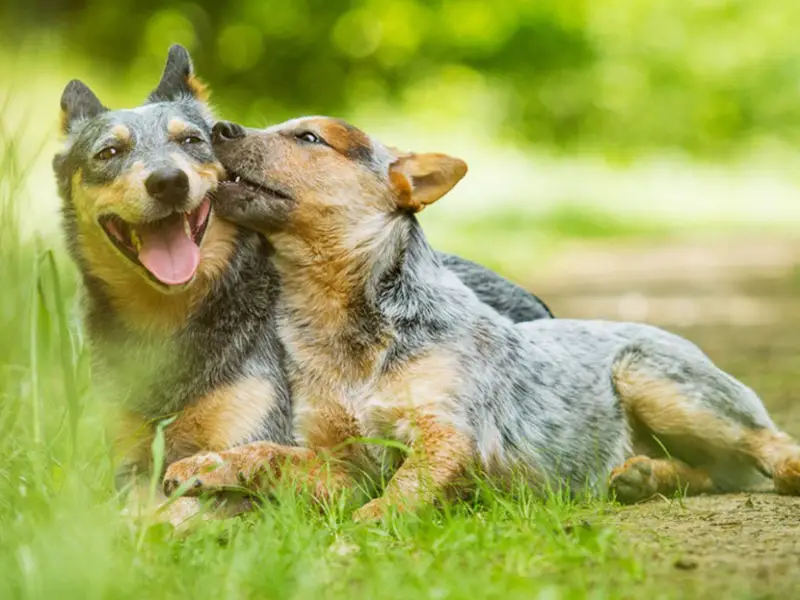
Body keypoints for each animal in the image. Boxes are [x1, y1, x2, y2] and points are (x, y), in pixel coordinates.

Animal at [53, 47, 556, 520]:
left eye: (191, 140)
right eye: (109, 153)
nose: (168, 181)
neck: (169, 324)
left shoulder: (255, 439)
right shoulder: (129, 466)